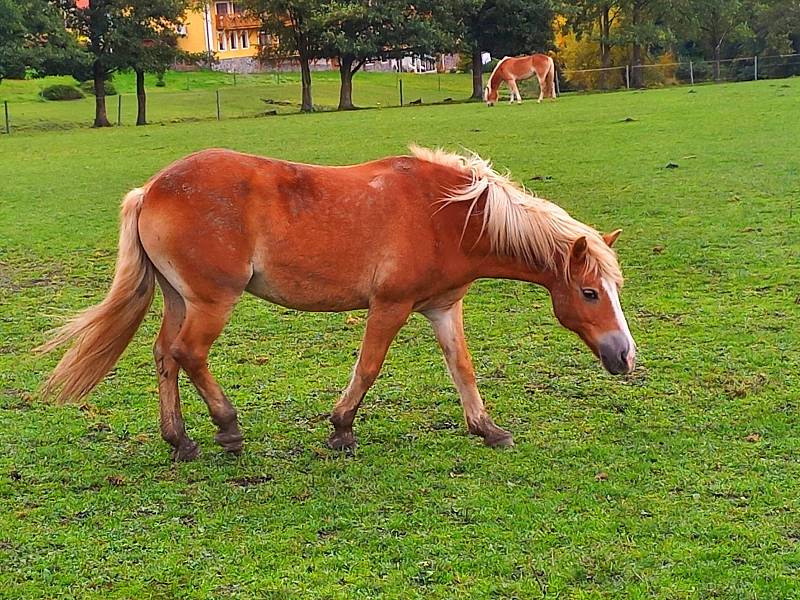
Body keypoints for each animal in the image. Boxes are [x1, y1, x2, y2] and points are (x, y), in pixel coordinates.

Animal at [39, 148, 636, 462]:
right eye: (589, 292)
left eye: (616, 289)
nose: (625, 357)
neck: (446, 215)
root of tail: (151, 189)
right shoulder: (390, 305)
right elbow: (368, 367)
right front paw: (342, 427)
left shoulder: (443, 308)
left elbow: (462, 368)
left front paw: (487, 429)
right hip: (211, 302)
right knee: (189, 355)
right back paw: (227, 427)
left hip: (179, 299)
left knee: (165, 355)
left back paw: (180, 439)